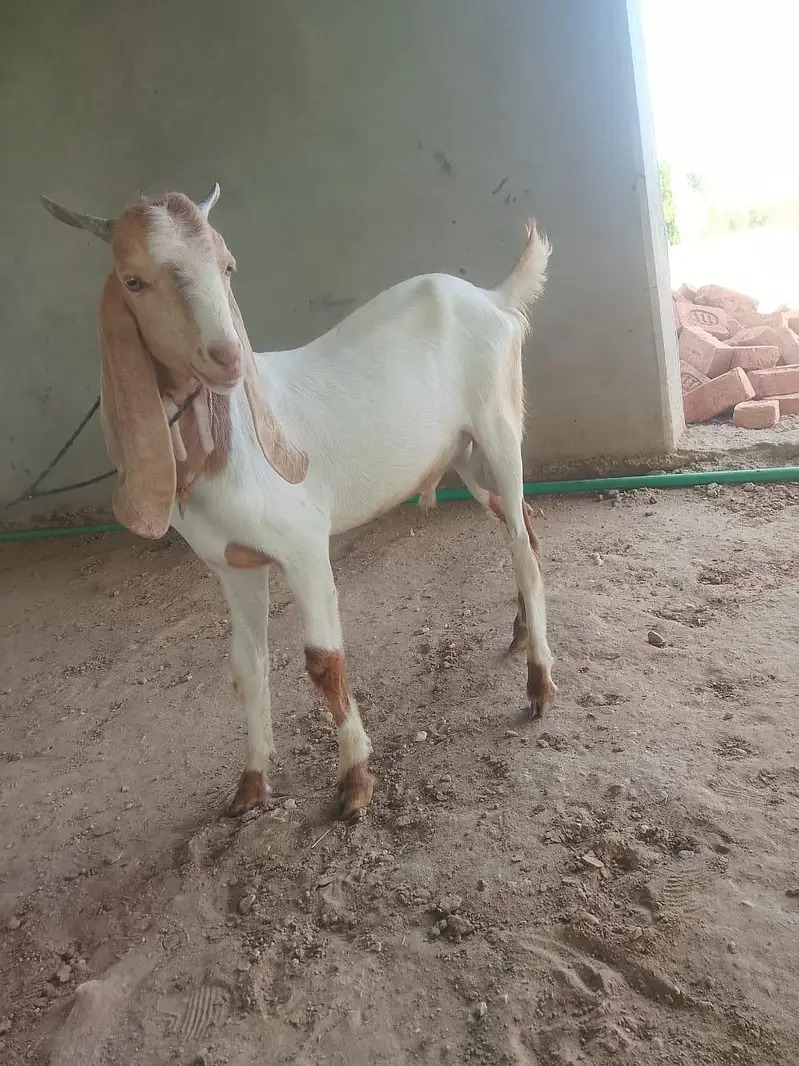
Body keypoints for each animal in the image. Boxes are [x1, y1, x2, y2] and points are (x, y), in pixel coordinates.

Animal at [41, 185, 556, 822]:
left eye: (227, 265)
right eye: (133, 280)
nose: (227, 357)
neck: (226, 442)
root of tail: (492, 296)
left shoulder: (304, 545)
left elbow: (323, 661)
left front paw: (355, 781)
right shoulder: (230, 564)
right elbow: (246, 664)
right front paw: (252, 783)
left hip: (499, 425)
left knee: (524, 549)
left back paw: (539, 684)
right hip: (464, 453)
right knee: (522, 524)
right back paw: (519, 634)